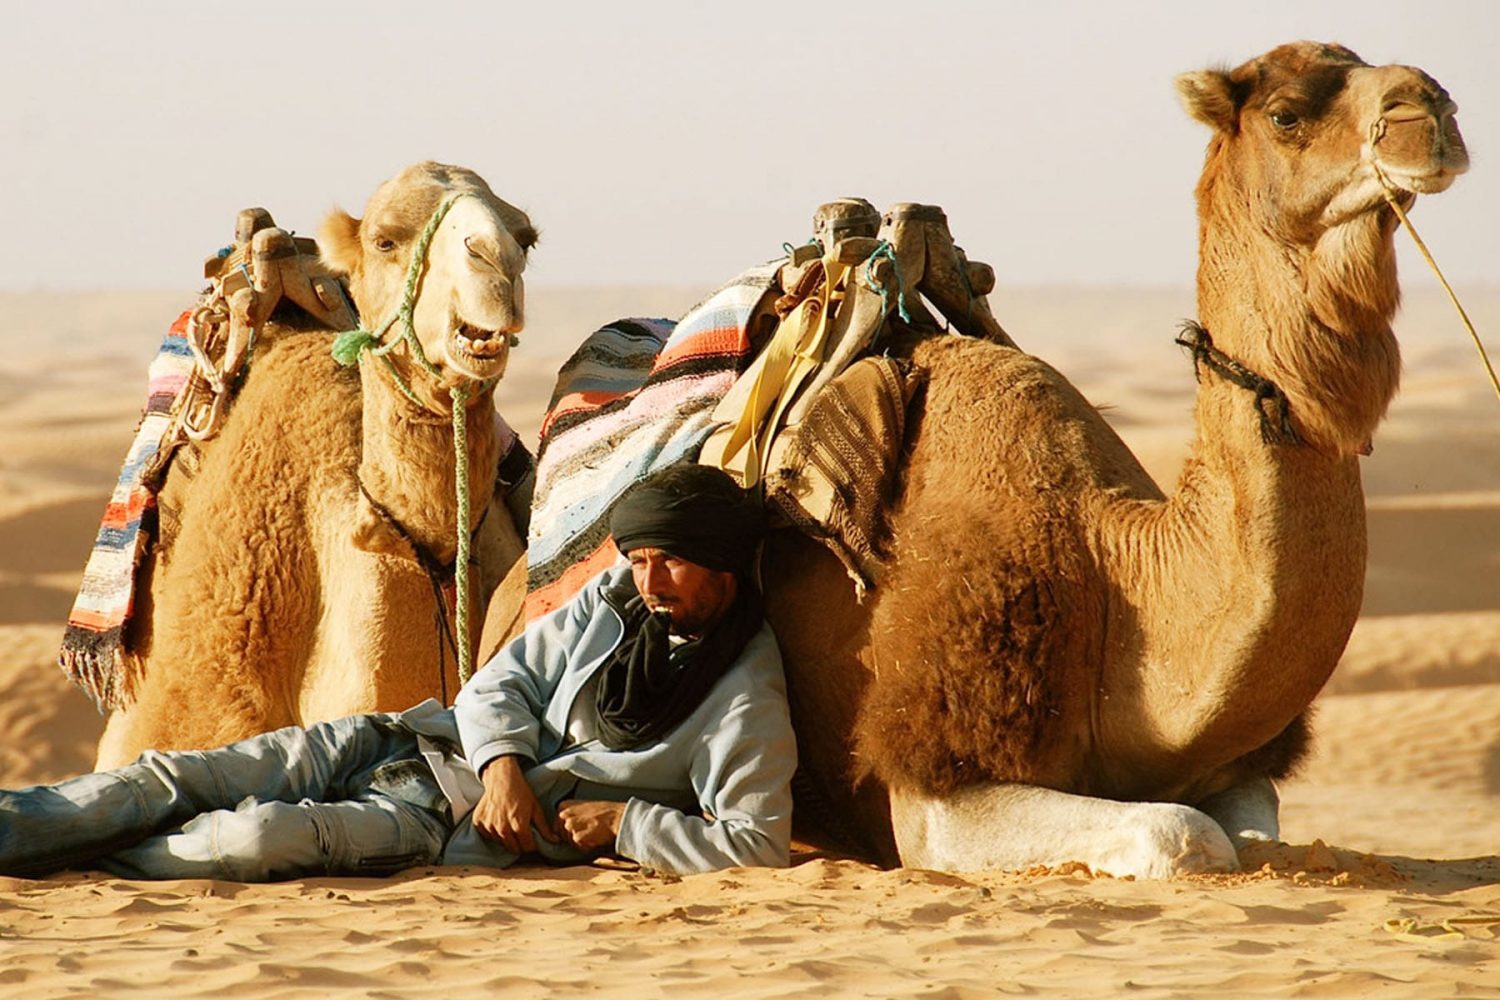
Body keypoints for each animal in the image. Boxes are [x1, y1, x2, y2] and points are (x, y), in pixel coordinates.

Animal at [750, 43, 1464, 875]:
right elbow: (1184, 833)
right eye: (1286, 114)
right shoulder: (932, 790)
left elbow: (1251, 837)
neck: (1116, 563)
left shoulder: (1234, 768)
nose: (1431, 112)